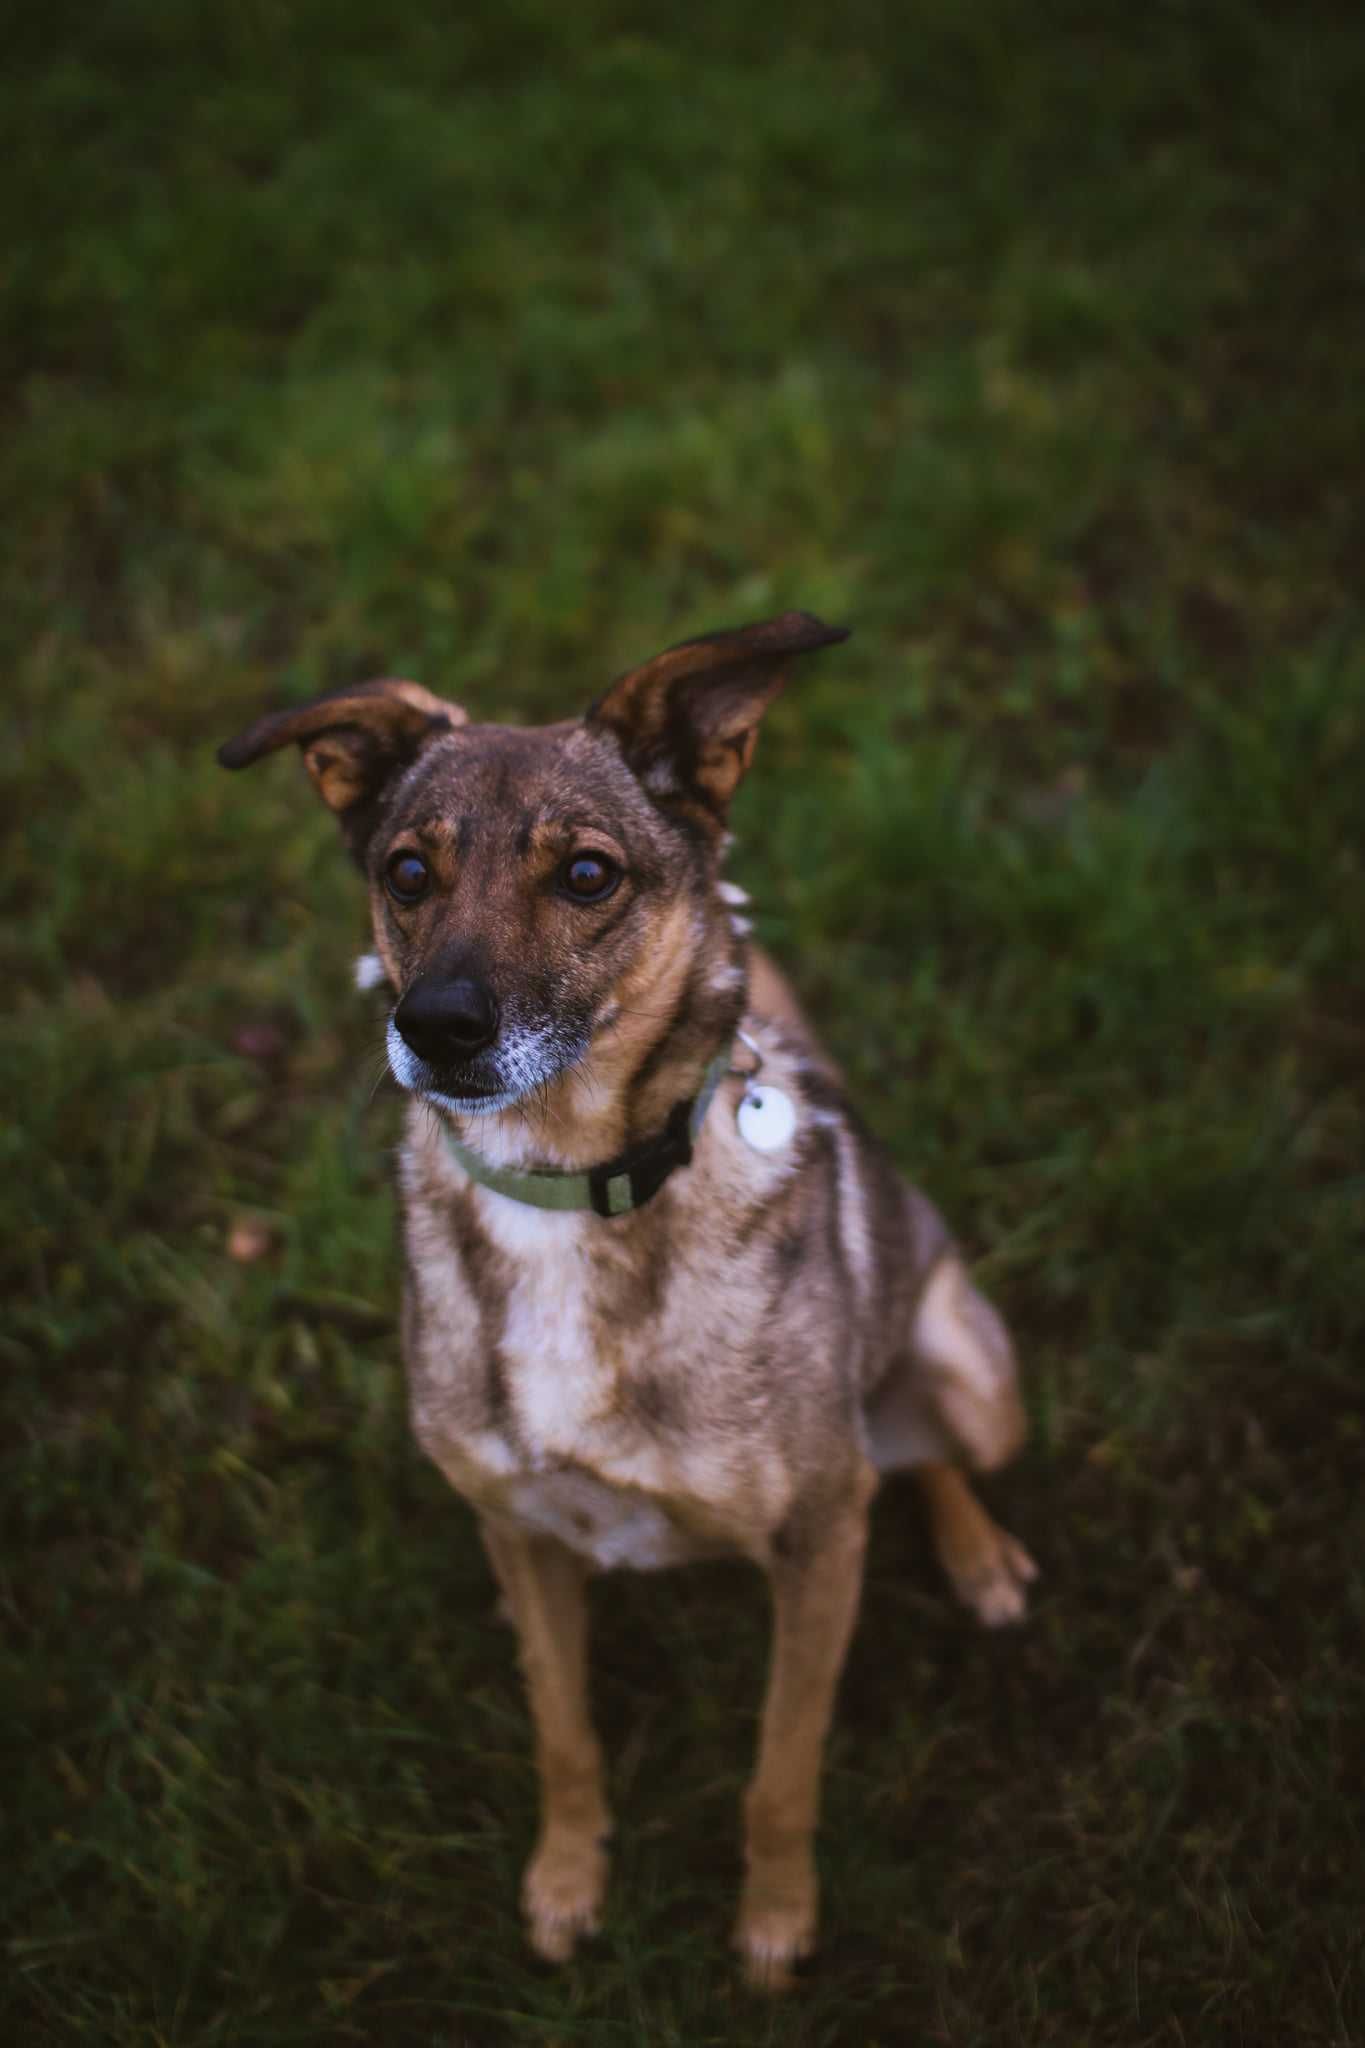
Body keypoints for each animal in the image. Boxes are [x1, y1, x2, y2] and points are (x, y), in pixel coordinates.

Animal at [222, 606, 1035, 1982]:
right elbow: (565, 1733)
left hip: (976, 1380)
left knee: (921, 1451)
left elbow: (781, 1770)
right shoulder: (519, 1531)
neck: (564, 1188)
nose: (434, 1025)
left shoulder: (820, 1540)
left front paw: (775, 1921)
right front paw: (565, 1880)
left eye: (589, 875)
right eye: (407, 871)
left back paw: (979, 1556)